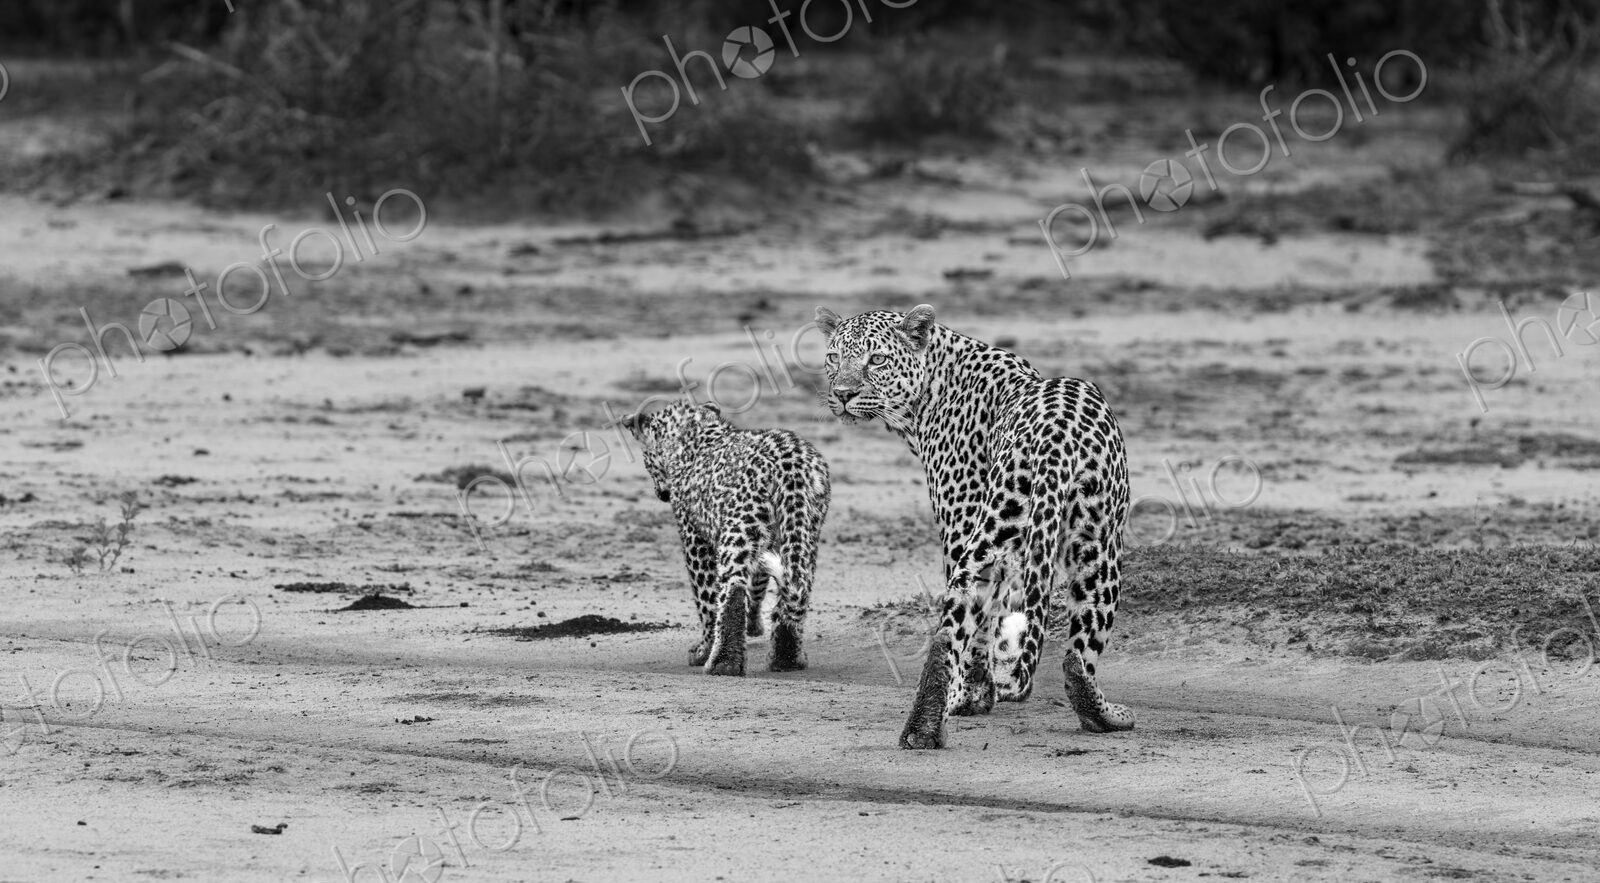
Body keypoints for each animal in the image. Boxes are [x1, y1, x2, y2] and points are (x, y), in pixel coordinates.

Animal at [621, 400, 829, 676]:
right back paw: (786, 659)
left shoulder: (694, 535)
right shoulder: (767, 543)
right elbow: (758, 586)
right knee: (797, 586)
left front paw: (703, 649)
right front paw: (753, 625)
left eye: (646, 459)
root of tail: (790, 464)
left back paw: (723, 663)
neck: (693, 432)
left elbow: (706, 597)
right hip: (803, 530)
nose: (661, 493)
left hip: (739, 528)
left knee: (733, 588)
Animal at [815, 303, 1135, 749]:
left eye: (876, 359)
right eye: (833, 357)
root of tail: (1056, 442)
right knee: (1069, 651)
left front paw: (975, 695)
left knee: (960, 628)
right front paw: (980, 694)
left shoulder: (961, 521)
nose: (843, 393)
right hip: (1089, 542)